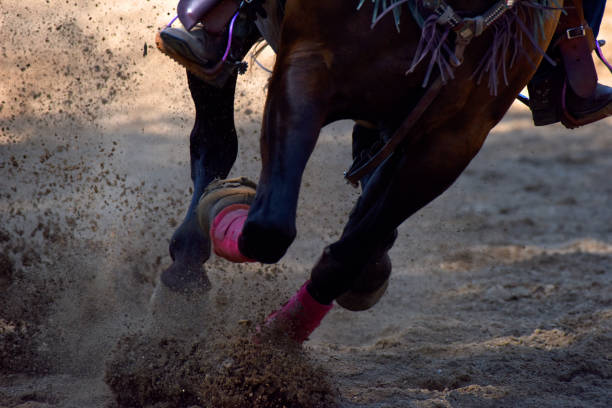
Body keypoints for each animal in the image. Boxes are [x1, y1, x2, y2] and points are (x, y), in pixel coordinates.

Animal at [157, 0, 564, 338]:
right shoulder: (306, 67)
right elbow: (268, 227)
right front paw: (227, 206)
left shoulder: (455, 138)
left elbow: (352, 249)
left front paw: (281, 340)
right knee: (214, 137)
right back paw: (185, 274)